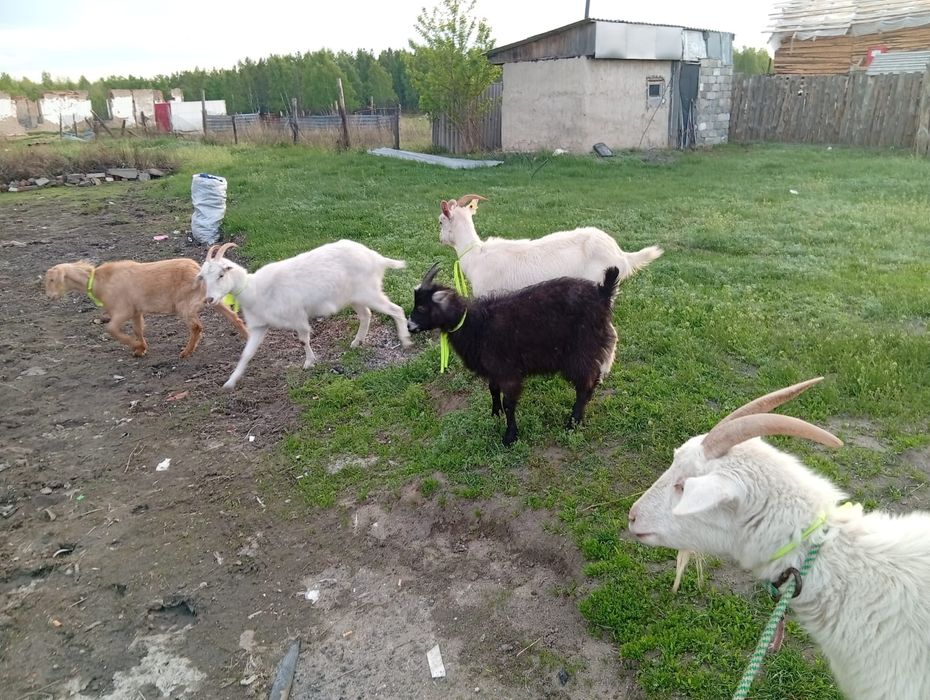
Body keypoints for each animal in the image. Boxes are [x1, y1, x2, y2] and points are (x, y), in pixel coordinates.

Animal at [44, 259, 247, 358]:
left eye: (52, 280)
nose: (49, 297)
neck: (100, 281)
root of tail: (198, 271)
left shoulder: (123, 310)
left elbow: (110, 329)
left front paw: (137, 346)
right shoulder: (136, 311)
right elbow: (138, 329)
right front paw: (141, 349)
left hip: (184, 305)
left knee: (197, 327)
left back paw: (185, 352)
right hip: (212, 298)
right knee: (233, 316)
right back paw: (246, 335)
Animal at [198, 241, 413, 390]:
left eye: (221, 275)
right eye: (204, 278)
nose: (209, 299)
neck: (255, 289)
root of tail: (376, 257)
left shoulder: (297, 316)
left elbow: (303, 340)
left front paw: (309, 362)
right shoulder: (259, 326)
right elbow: (247, 353)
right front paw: (230, 382)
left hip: (369, 292)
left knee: (396, 310)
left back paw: (405, 340)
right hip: (355, 296)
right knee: (366, 315)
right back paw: (356, 342)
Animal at [407, 263, 619, 446]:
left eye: (422, 307)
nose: (409, 326)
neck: (475, 324)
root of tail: (603, 294)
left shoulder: (508, 371)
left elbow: (509, 402)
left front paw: (509, 436)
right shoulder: (494, 368)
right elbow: (493, 389)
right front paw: (495, 413)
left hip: (581, 351)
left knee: (585, 385)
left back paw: (572, 423)